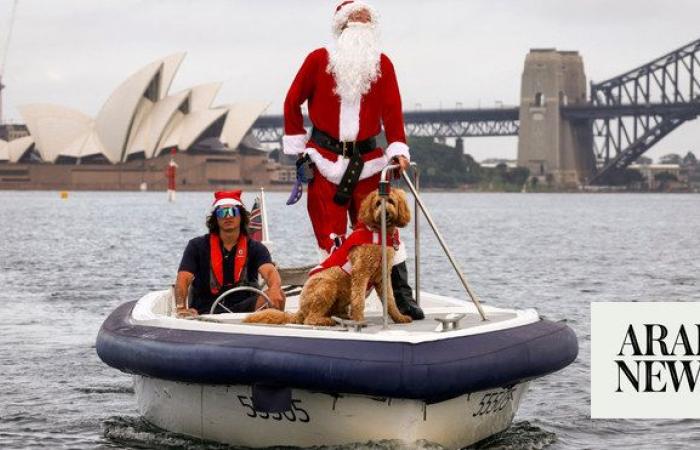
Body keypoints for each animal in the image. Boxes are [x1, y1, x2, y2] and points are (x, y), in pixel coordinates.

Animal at [245, 188, 412, 326]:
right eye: (377, 203)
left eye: (391, 201)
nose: (385, 213)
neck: (379, 233)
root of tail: (299, 311)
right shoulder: (360, 273)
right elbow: (358, 300)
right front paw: (359, 320)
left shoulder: (383, 277)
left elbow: (390, 300)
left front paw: (399, 317)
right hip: (327, 285)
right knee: (310, 319)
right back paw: (326, 321)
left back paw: (342, 317)